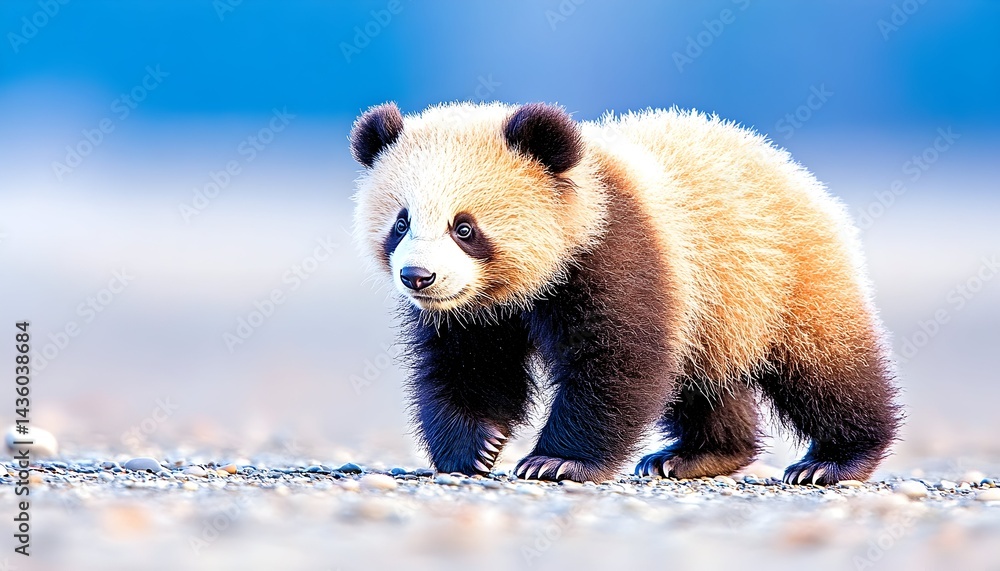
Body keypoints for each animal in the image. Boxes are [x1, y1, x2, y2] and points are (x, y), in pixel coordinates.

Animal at [349, 101, 901, 485]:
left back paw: (834, 461)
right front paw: (475, 448)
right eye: (401, 223)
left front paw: (555, 461)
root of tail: (788, 167)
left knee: (825, 369)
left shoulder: (616, 246)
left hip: (782, 273)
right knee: (703, 378)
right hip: (716, 311)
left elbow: (617, 359)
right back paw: (698, 455)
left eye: (464, 228)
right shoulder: (472, 309)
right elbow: (466, 362)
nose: (418, 276)